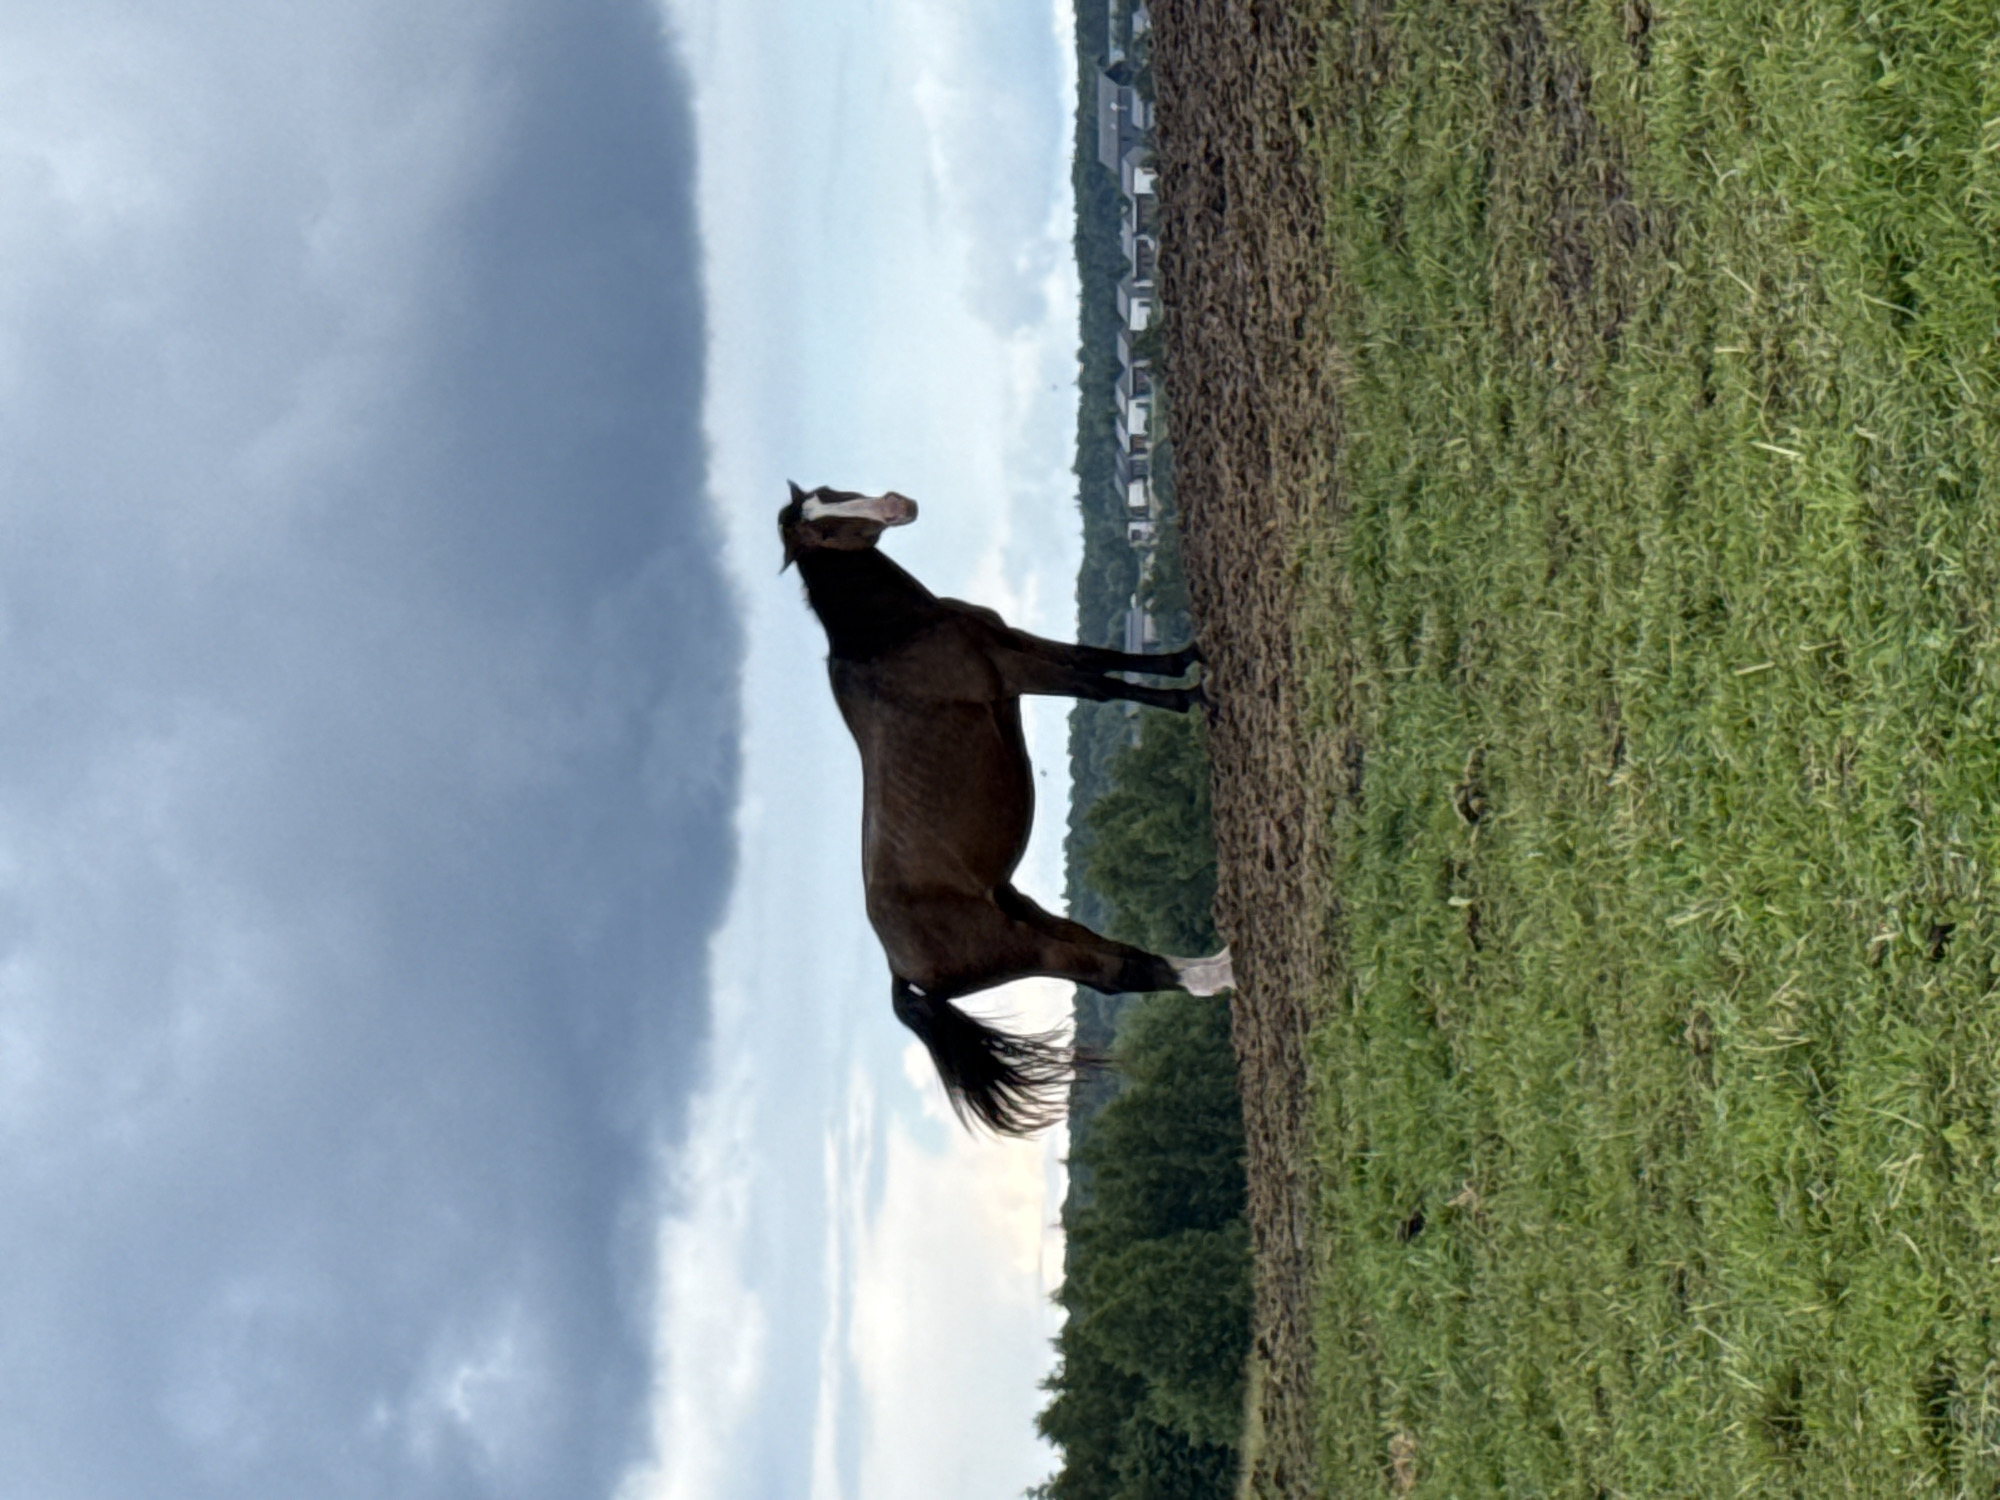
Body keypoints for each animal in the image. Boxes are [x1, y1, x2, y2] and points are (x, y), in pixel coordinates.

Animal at [780, 482, 1233, 1136]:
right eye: (819, 531)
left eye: (832, 494)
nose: (896, 505)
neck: (895, 636)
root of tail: (901, 968)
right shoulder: (1013, 669)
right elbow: (1098, 685)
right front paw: (1193, 694)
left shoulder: (1013, 641)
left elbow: (1094, 656)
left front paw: (1186, 659)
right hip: (1031, 950)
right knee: (1123, 975)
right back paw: (1227, 972)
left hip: (1032, 917)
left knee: (1119, 960)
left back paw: (1218, 967)